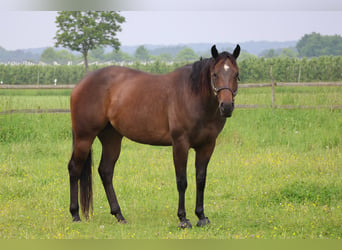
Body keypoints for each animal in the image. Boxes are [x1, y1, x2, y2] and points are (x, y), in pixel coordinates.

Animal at [68, 44, 240, 228]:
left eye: (236, 74)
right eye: (214, 74)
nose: (226, 106)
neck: (192, 96)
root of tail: (81, 83)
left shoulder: (207, 146)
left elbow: (201, 180)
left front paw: (201, 217)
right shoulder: (180, 144)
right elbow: (182, 181)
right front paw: (183, 219)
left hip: (111, 139)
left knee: (105, 171)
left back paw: (119, 215)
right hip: (84, 138)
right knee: (74, 169)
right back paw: (75, 214)